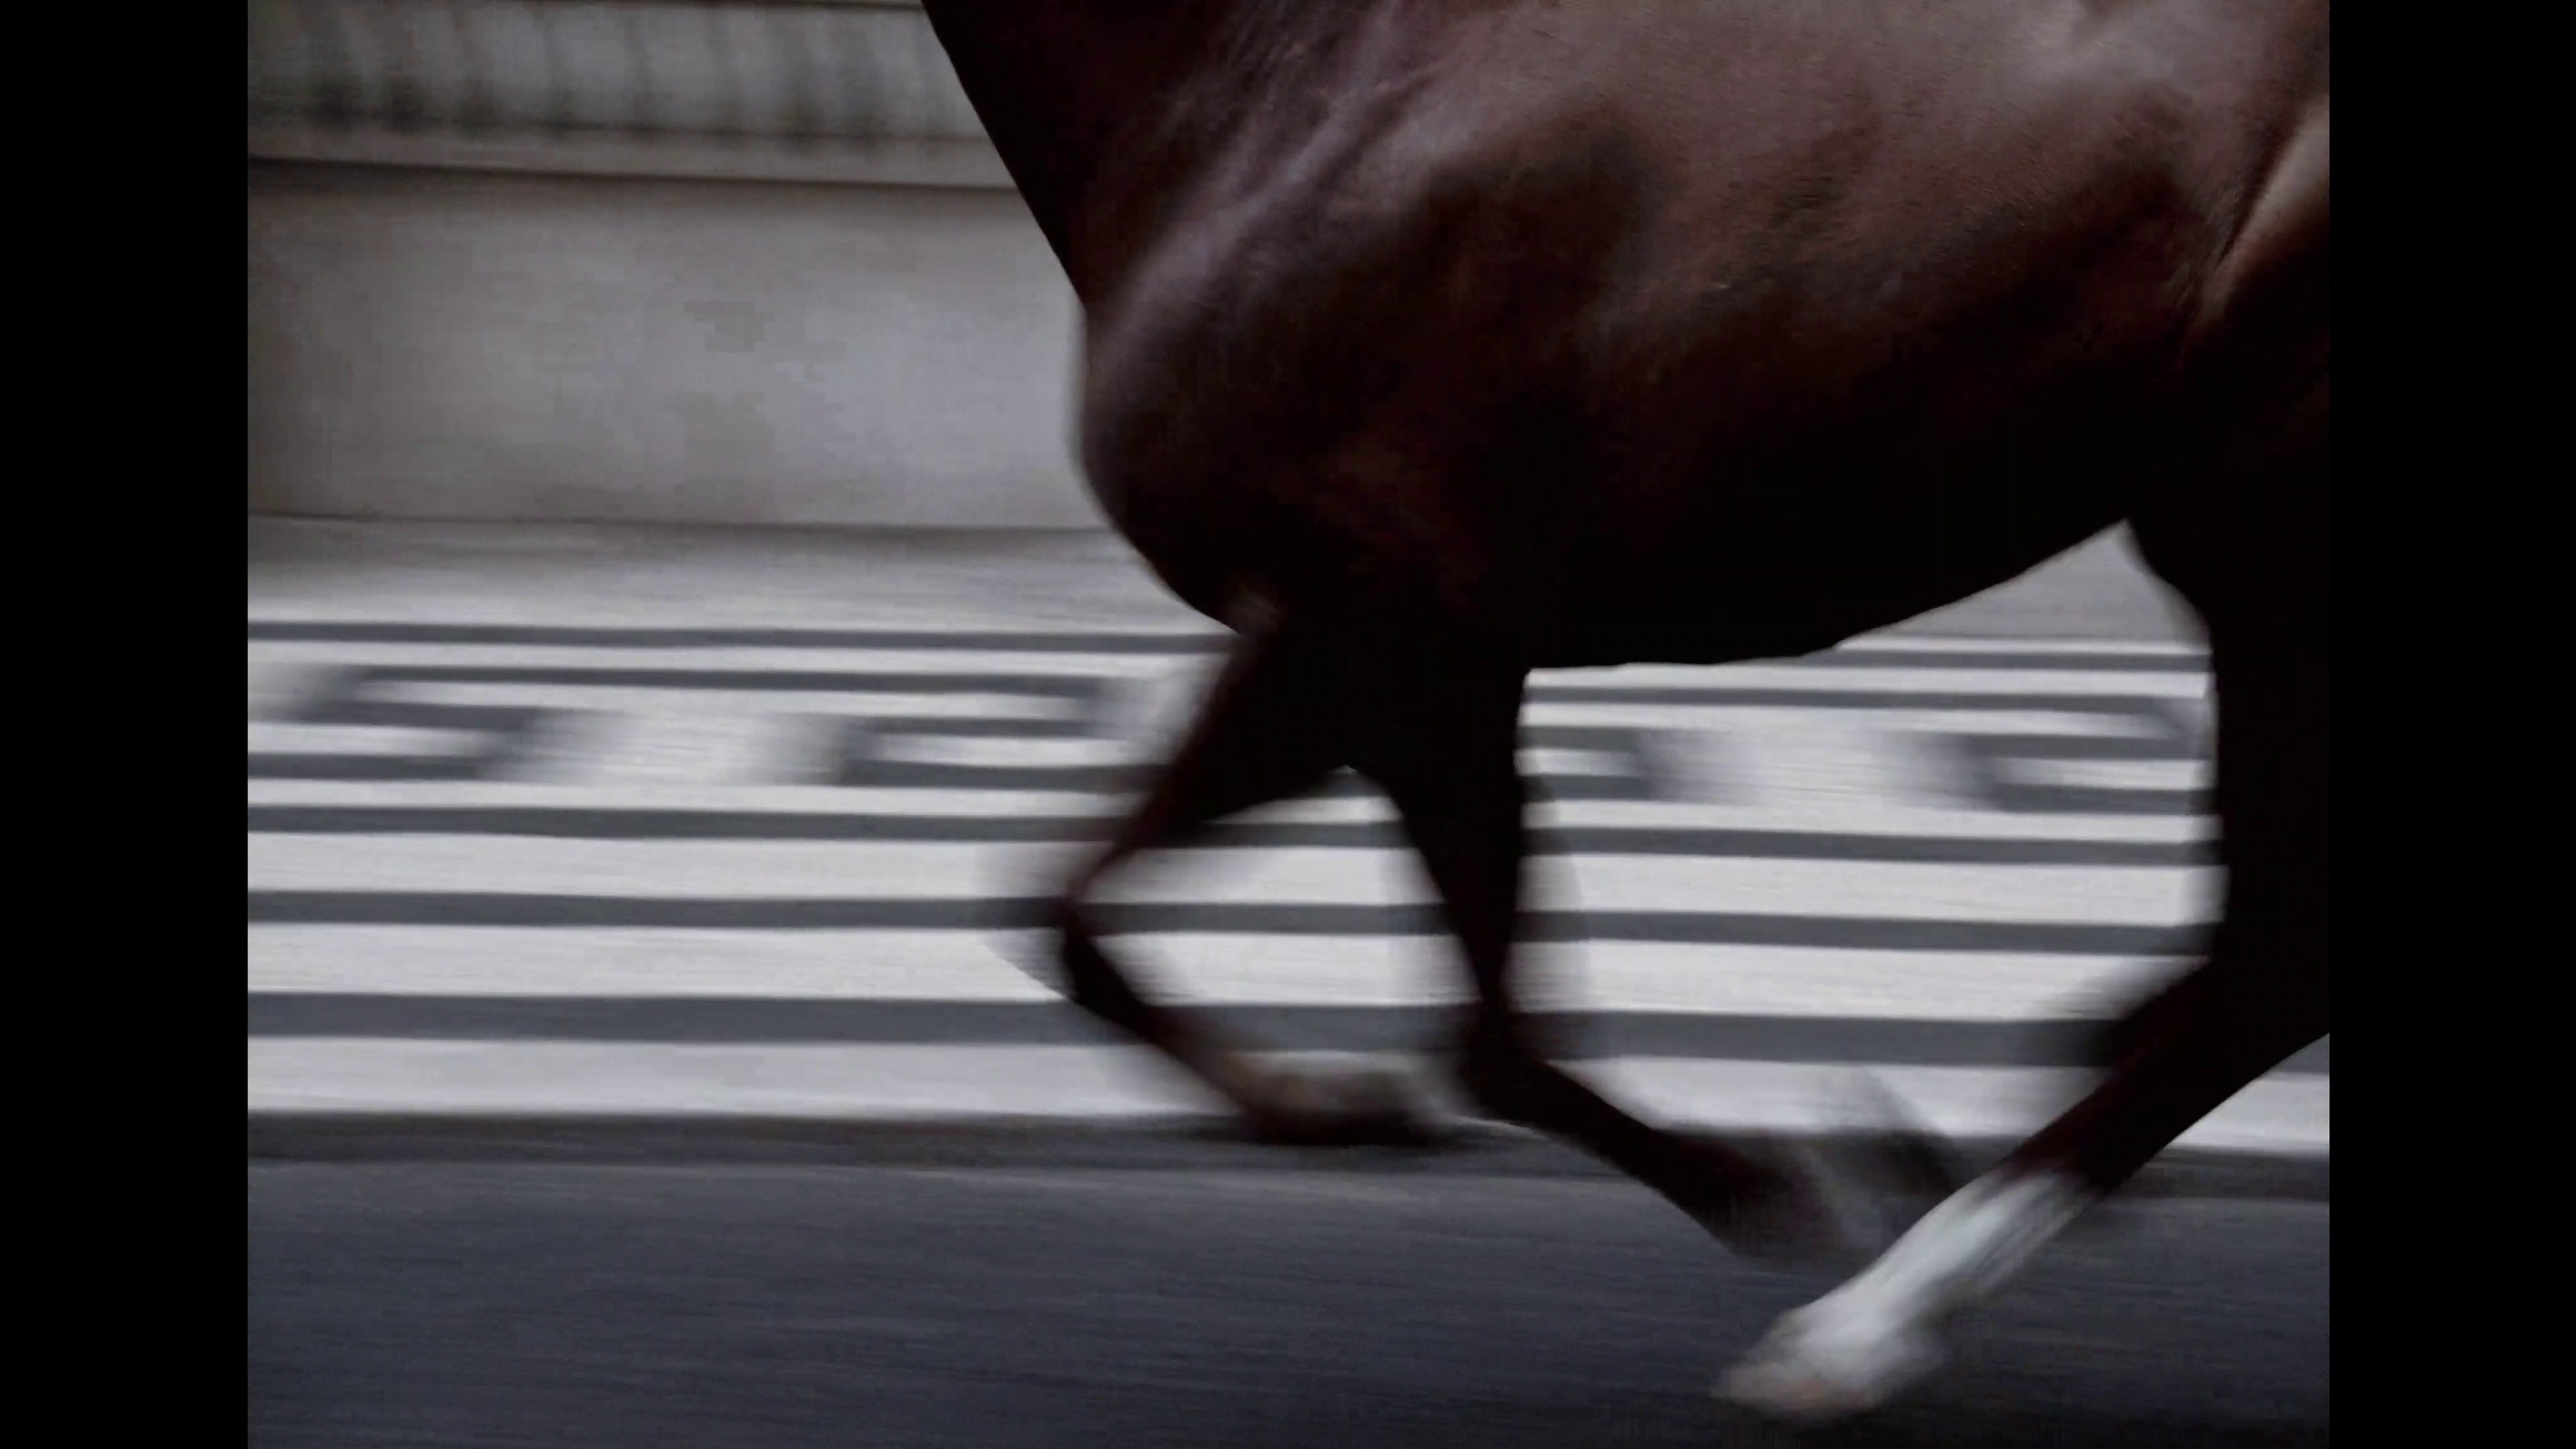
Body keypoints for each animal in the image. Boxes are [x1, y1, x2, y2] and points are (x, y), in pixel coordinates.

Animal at [916, 0, 2327, 1420]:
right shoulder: (1376, 659)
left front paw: (1762, 1182)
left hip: (2259, 556)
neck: (1263, 84)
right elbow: (1077, 916)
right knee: (2249, 952)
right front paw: (1337, 1103)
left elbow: (1466, 1033)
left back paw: (1857, 1330)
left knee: (2272, 963)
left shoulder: (1378, 631)